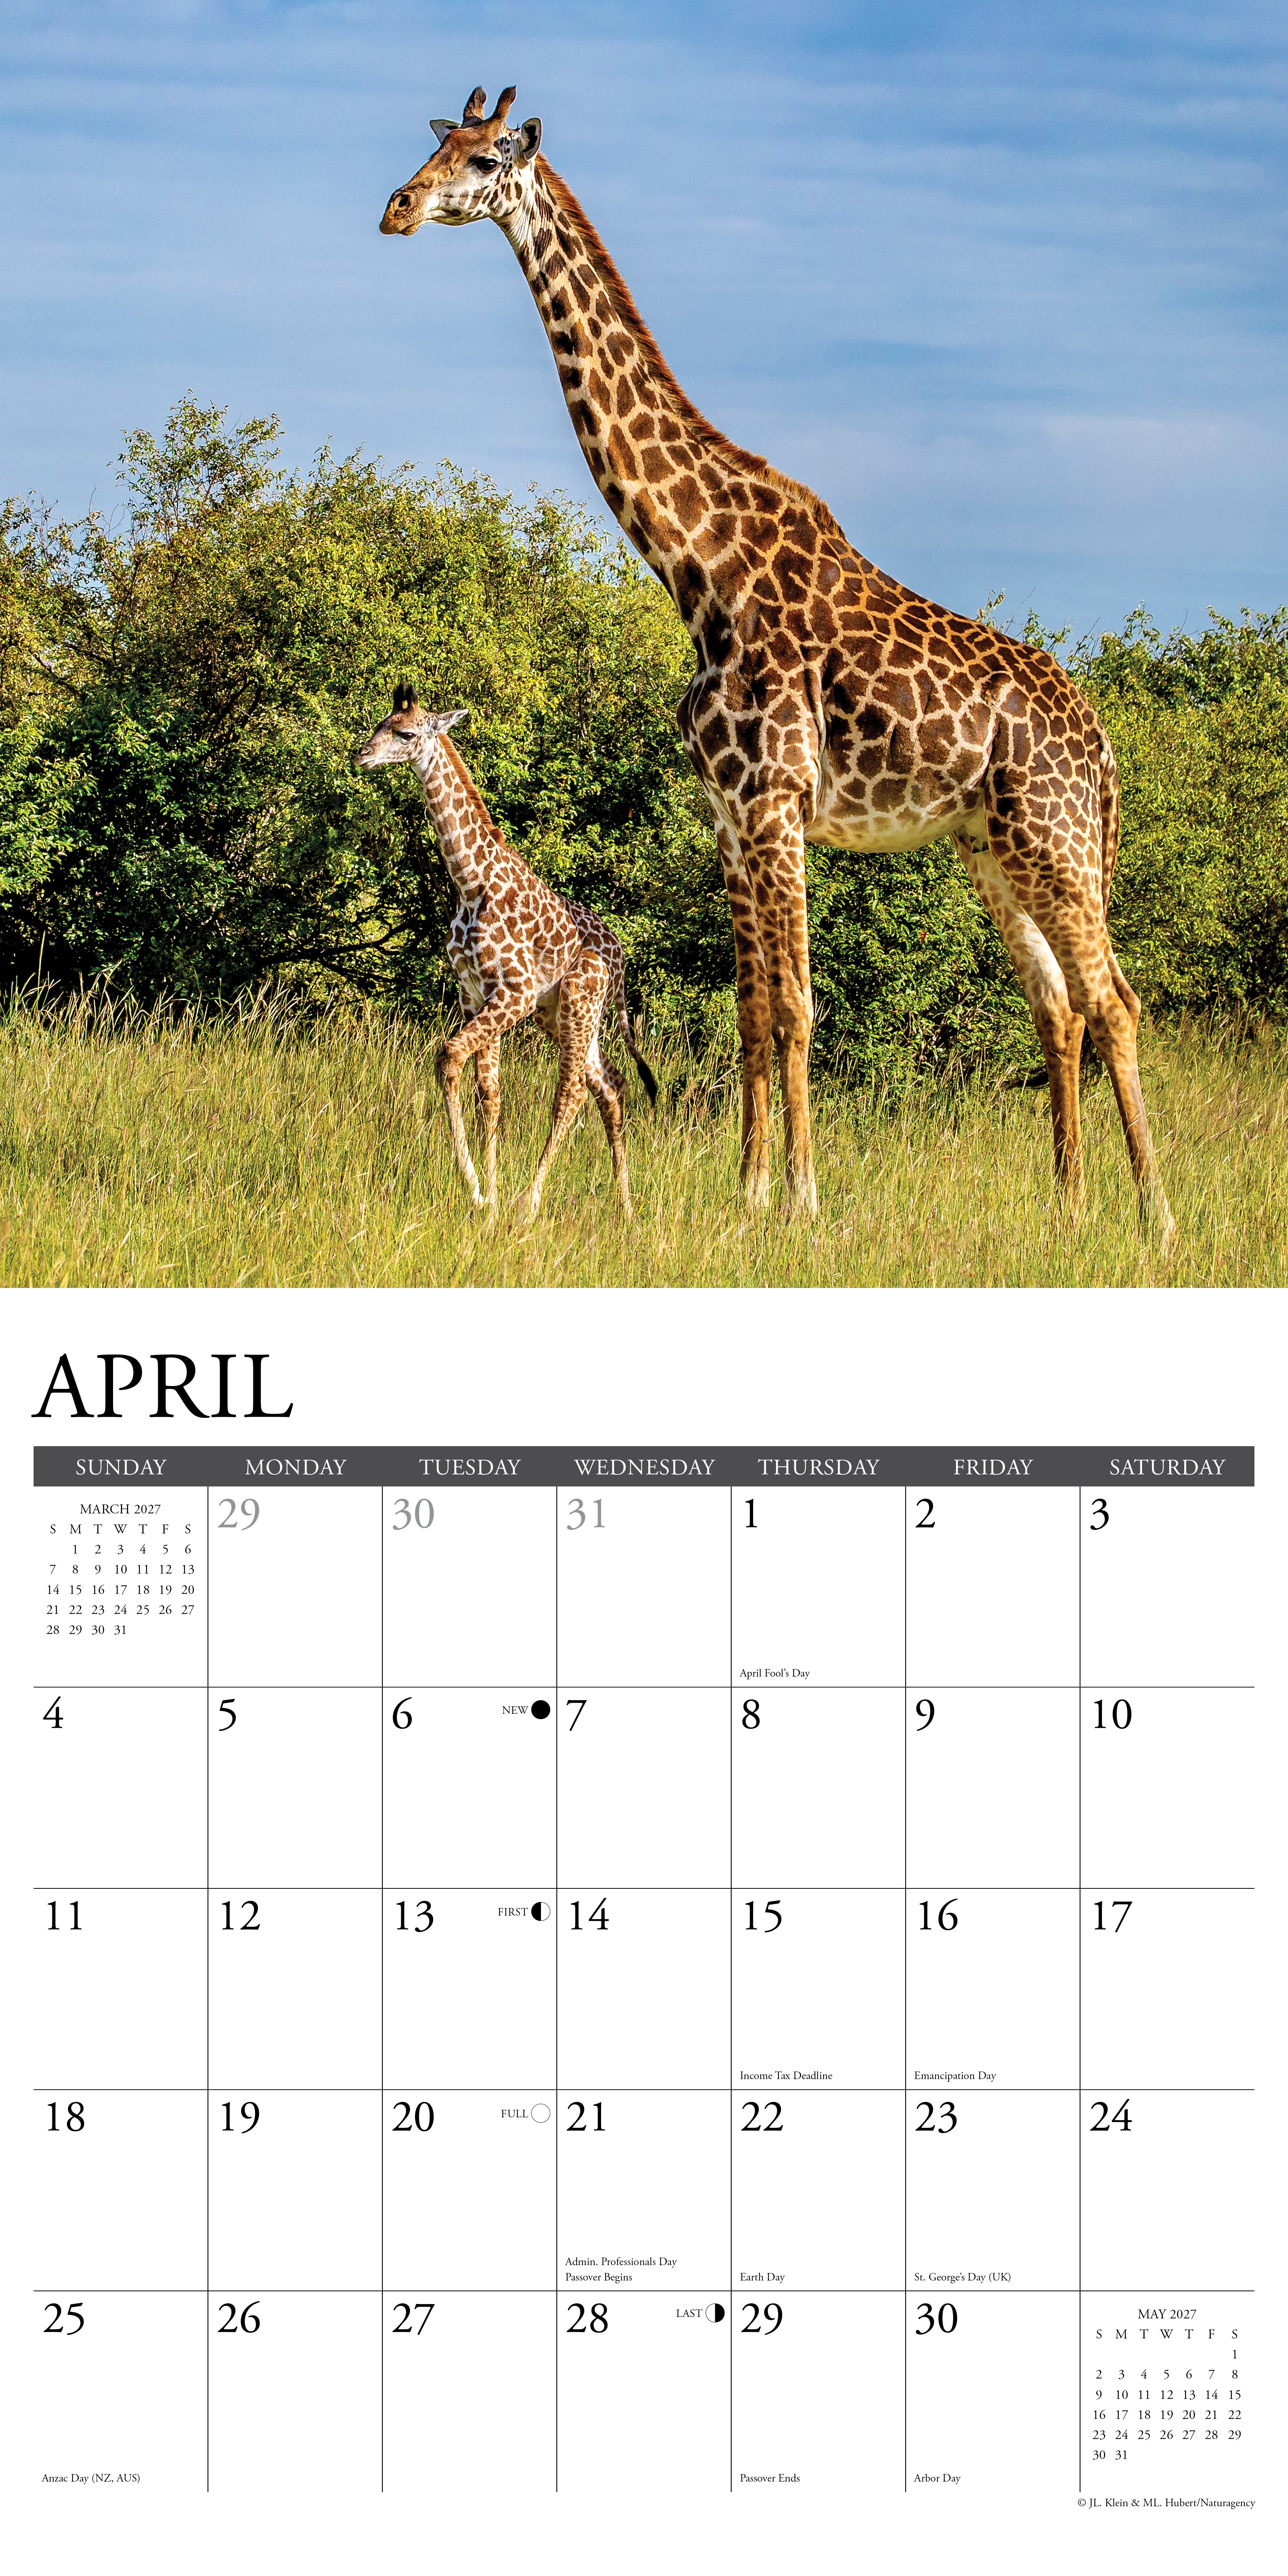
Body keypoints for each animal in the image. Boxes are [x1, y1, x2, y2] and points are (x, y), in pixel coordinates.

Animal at [356, 690, 656, 1219]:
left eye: (407, 734)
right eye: (380, 723)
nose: (362, 755)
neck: (469, 881)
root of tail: (622, 962)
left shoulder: (512, 993)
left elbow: (450, 1058)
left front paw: (478, 1191)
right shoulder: (474, 993)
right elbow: (490, 1094)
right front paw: (489, 1200)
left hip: (577, 1002)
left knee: (572, 1092)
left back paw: (532, 1203)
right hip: (561, 1015)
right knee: (612, 1086)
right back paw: (625, 1208)